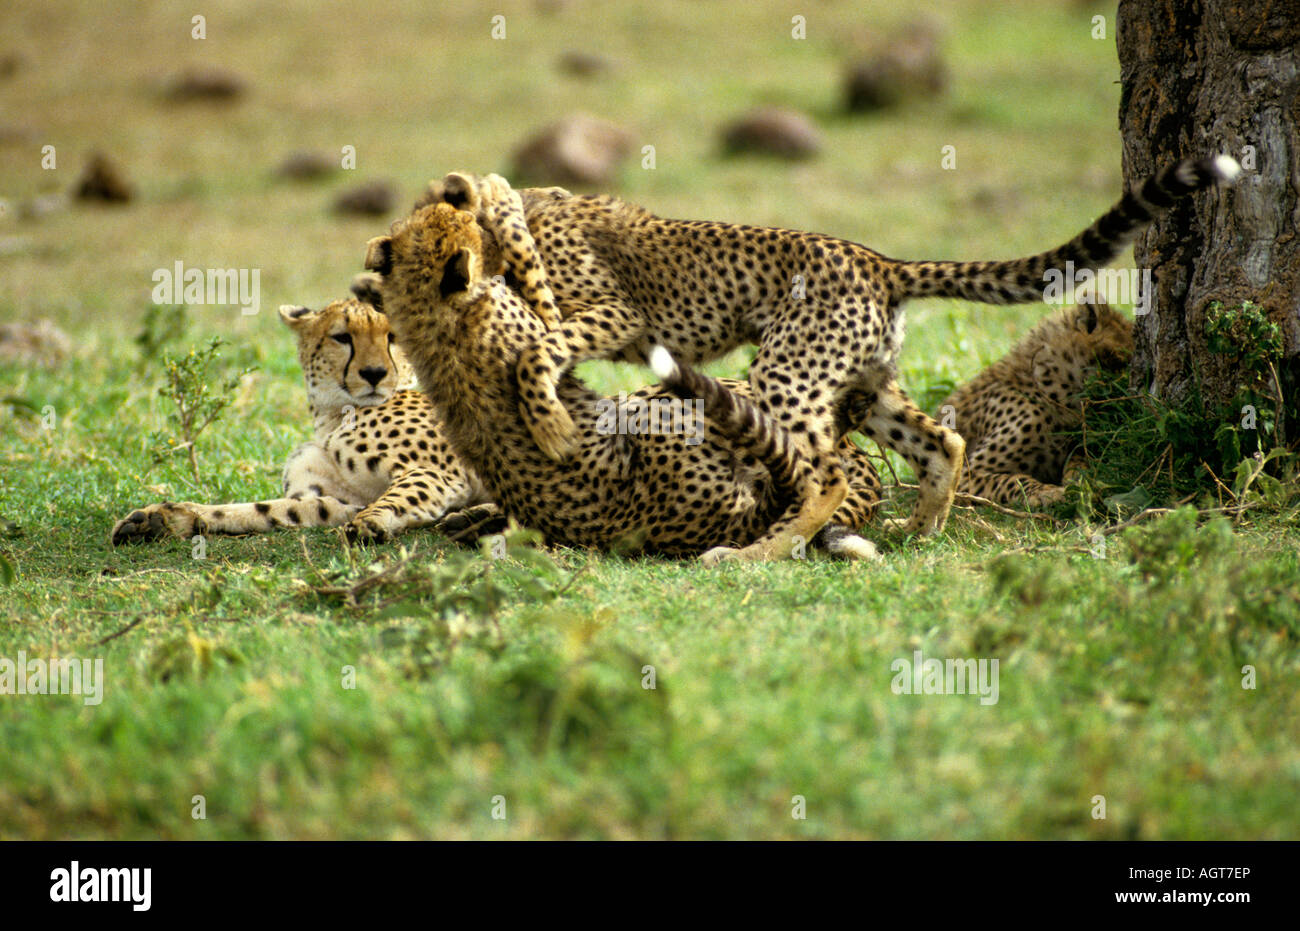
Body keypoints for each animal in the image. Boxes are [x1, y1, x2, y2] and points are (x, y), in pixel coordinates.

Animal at [113, 295, 496, 546]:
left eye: (394, 337)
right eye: (342, 337)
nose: (374, 373)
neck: (332, 415)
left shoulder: (441, 473)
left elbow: (401, 494)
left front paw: (372, 521)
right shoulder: (340, 499)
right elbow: (269, 509)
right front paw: (164, 518)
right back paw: (473, 520)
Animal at [361, 182, 878, 559]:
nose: (471, 210)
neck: (430, 316)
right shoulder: (565, 318)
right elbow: (539, 307)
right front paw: (505, 201)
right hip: (676, 401)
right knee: (818, 467)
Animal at [941, 304, 1133, 509]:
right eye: (1120, 359)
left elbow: (1082, 453)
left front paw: (1078, 476)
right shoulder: (963, 473)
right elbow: (1011, 480)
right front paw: (1046, 492)